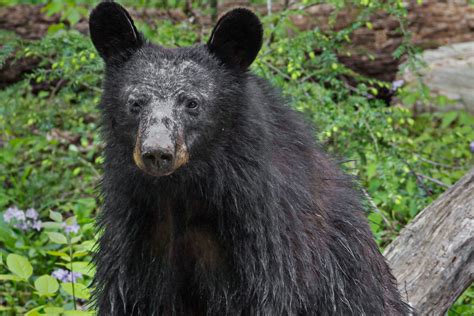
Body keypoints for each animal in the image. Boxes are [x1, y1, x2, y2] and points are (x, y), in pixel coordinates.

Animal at [88, 1, 412, 314]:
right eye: (135, 102)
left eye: (192, 103)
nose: (157, 152)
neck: (183, 191)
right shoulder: (135, 231)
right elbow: (125, 295)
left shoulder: (271, 243)